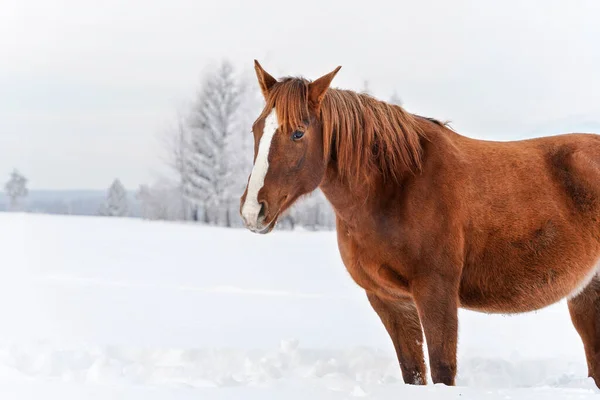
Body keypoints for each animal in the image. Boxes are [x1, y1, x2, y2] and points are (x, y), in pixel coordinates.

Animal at [239, 61, 600, 390]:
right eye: (256, 128)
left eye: (298, 132)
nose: (252, 210)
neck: (397, 185)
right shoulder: (389, 300)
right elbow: (412, 372)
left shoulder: (435, 293)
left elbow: (442, 370)